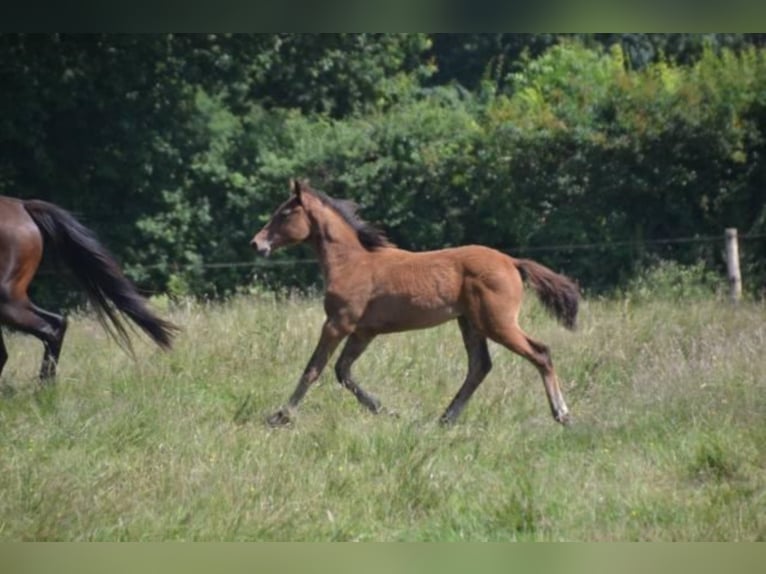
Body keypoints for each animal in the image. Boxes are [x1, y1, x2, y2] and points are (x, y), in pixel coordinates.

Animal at [254, 180, 584, 428]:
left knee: (539, 353)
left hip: (497, 323)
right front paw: (385, 410)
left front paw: (281, 415)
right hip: (470, 322)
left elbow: (314, 369)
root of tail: (512, 262)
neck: (352, 262)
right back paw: (445, 419)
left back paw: (562, 415)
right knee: (479, 366)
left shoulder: (338, 323)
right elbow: (342, 371)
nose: (256, 244)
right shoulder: (363, 331)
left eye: (285, 213)